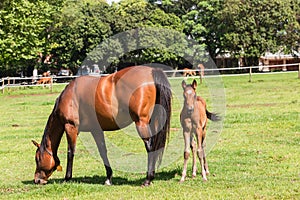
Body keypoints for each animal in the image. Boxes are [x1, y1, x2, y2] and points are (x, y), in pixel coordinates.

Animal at [32, 66, 171, 187]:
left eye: (37, 159)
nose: (37, 180)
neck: (69, 96)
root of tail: (152, 71)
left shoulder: (70, 127)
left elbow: (70, 152)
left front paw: (67, 178)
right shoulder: (96, 129)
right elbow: (103, 151)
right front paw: (108, 178)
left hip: (141, 122)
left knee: (150, 147)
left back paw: (148, 179)